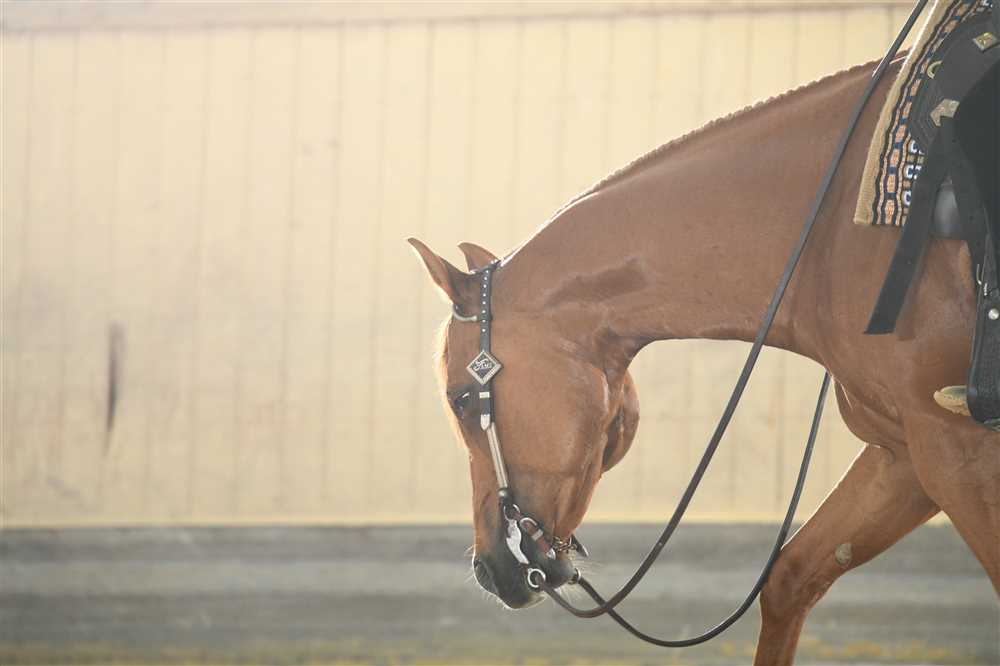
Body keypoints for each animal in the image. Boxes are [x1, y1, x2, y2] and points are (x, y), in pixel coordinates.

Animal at [408, 55, 999, 665]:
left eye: (460, 399)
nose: (489, 569)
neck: (834, 231)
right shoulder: (903, 451)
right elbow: (789, 578)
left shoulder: (959, 448)